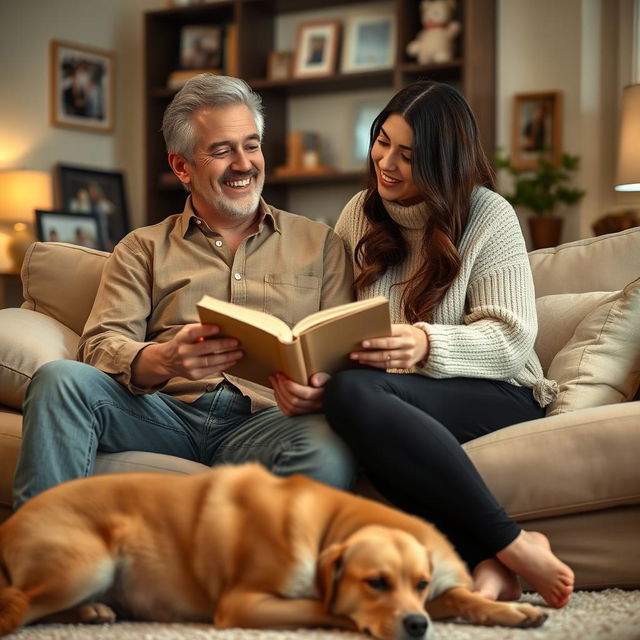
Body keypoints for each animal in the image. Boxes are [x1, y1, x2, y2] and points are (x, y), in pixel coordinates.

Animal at [1, 462, 544, 636]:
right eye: (375, 583)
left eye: (421, 583)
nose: (417, 626)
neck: (328, 528)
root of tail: (9, 524)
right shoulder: (243, 602)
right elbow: (327, 608)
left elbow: (464, 599)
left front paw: (514, 610)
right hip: (88, 562)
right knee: (16, 605)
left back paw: (90, 613)